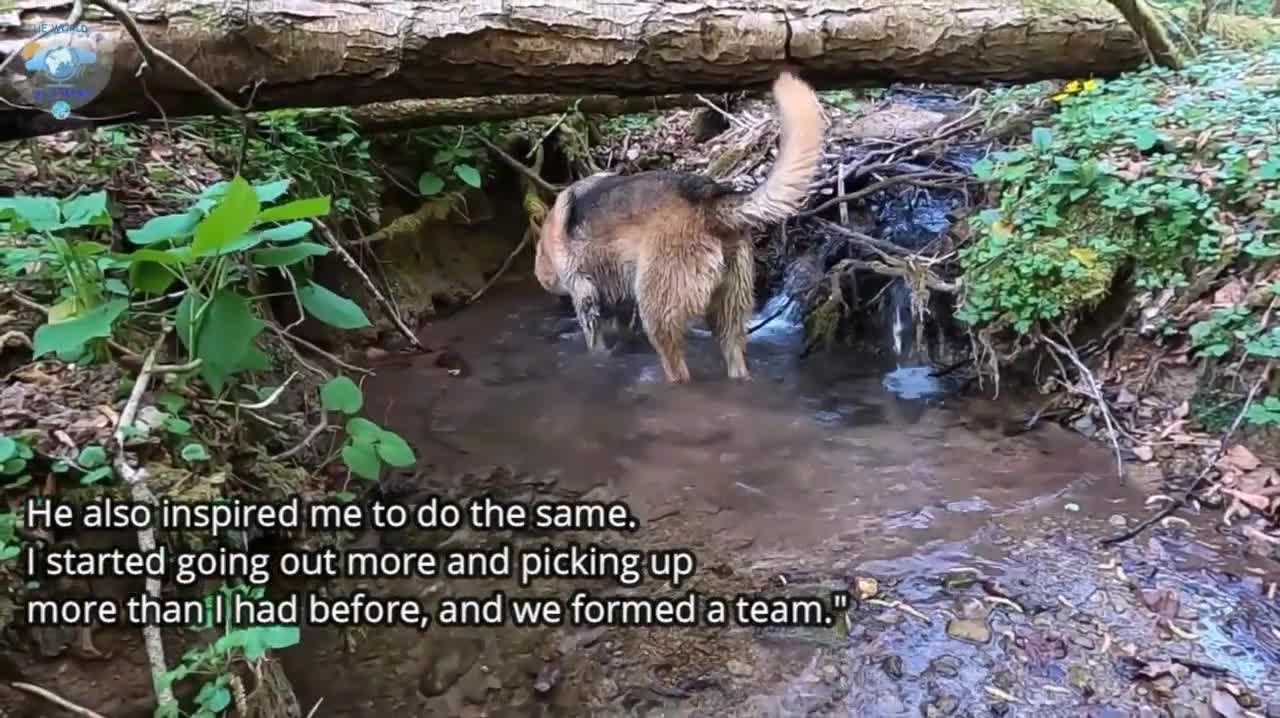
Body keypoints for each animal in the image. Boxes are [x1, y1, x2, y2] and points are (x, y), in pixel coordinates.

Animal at [532, 71, 824, 383]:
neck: (550, 236)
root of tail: (709, 199)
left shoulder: (583, 292)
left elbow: (594, 338)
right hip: (729, 316)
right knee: (736, 360)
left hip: (659, 314)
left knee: (678, 370)